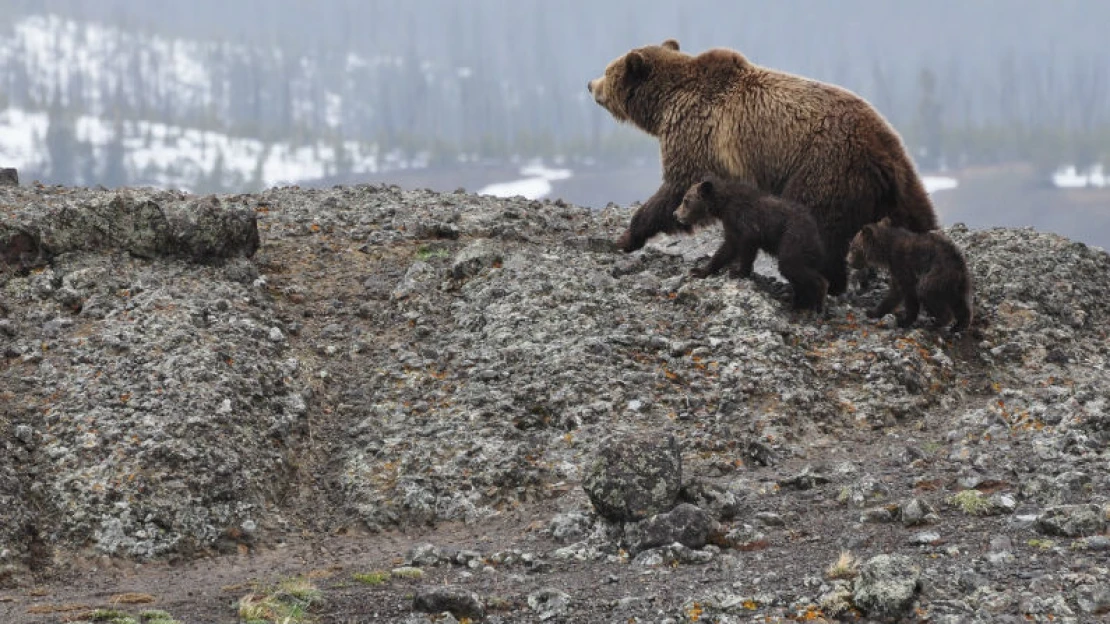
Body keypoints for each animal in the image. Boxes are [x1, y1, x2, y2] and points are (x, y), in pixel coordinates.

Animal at [586, 39, 941, 295]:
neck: (664, 105)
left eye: (608, 69)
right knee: (919, 220)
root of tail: (884, 153)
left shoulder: (697, 135)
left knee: (819, 228)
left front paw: (627, 236)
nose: (590, 84)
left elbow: (676, 188)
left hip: (824, 169)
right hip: (901, 183)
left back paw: (822, 283)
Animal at [670, 175, 830, 310]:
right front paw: (699, 270)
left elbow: (746, 245)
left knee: (791, 265)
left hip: (793, 239)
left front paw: (738, 271)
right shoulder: (731, 224)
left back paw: (817, 301)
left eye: (685, 200)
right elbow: (727, 248)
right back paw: (799, 303)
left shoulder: (746, 220)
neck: (723, 205)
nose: (675, 214)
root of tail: (817, 235)